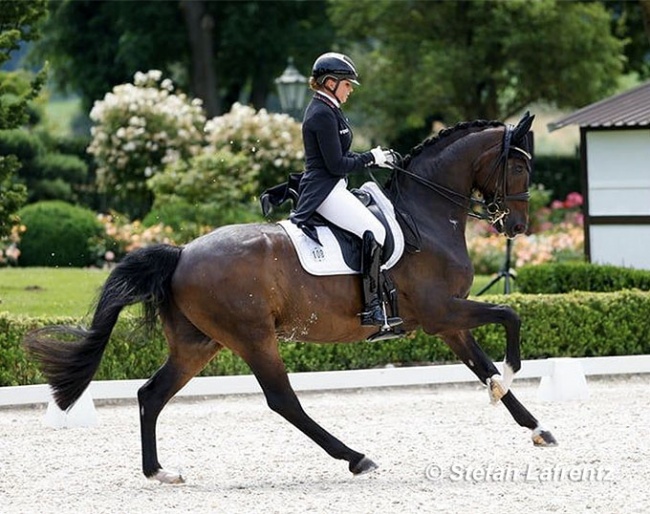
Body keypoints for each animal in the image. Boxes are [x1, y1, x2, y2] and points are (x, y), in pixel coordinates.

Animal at [22, 110, 556, 482]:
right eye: (518, 167)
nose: (517, 226)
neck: (424, 216)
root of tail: (181, 253)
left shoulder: (447, 323)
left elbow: (482, 363)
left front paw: (535, 426)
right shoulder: (441, 312)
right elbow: (509, 315)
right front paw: (510, 374)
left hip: (198, 343)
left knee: (151, 395)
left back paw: (159, 471)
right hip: (254, 337)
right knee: (283, 400)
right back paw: (356, 458)